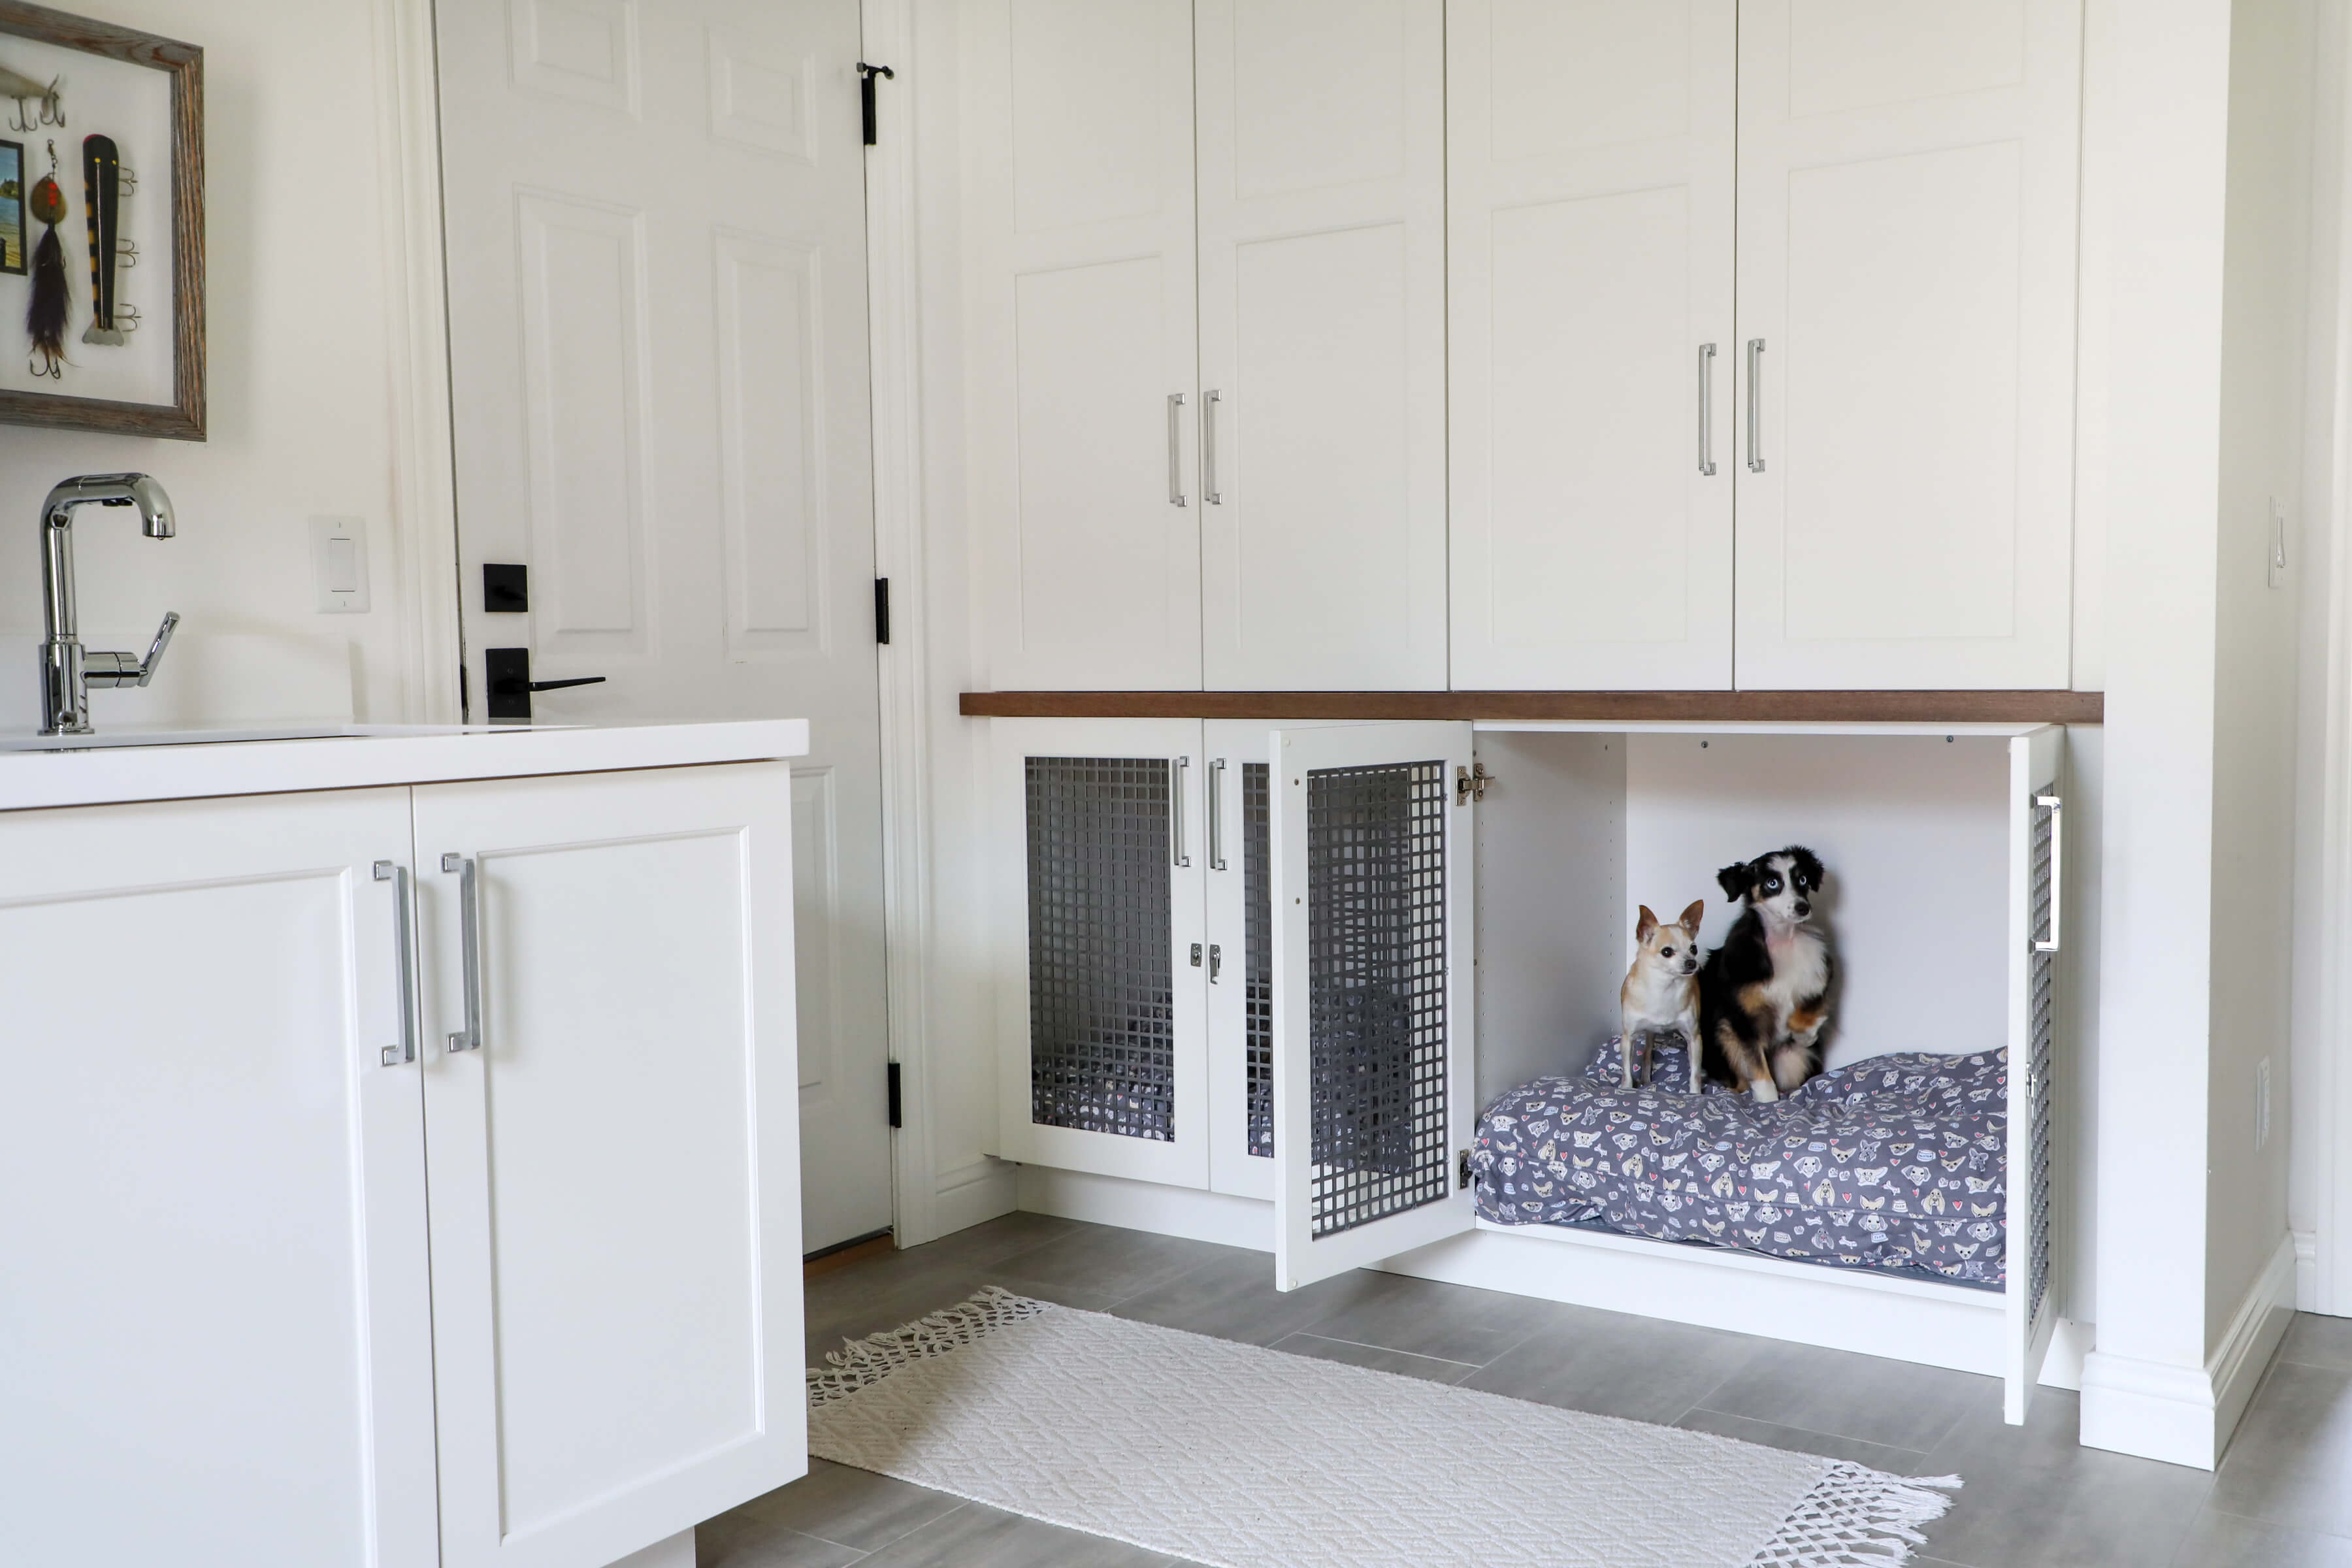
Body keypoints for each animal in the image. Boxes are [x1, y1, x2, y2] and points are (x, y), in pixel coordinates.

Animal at [1712, 846, 1835, 1105]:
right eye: (1772, 883)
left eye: (1803, 879)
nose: (1802, 908)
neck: (1782, 937)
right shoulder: (1743, 1018)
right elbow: (1757, 1066)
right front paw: (1768, 1101)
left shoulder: (1821, 972)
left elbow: (1811, 1006)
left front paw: (1806, 1036)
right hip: (1725, 1033)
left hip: (1793, 1060)